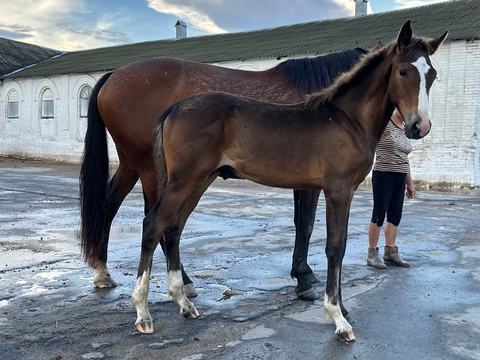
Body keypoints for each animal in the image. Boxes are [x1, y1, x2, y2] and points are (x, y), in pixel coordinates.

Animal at [79, 46, 366, 300]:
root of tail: (113, 76)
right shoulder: (311, 183)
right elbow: (305, 224)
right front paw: (303, 278)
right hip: (152, 168)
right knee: (156, 218)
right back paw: (183, 282)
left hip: (132, 165)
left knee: (110, 205)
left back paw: (103, 272)